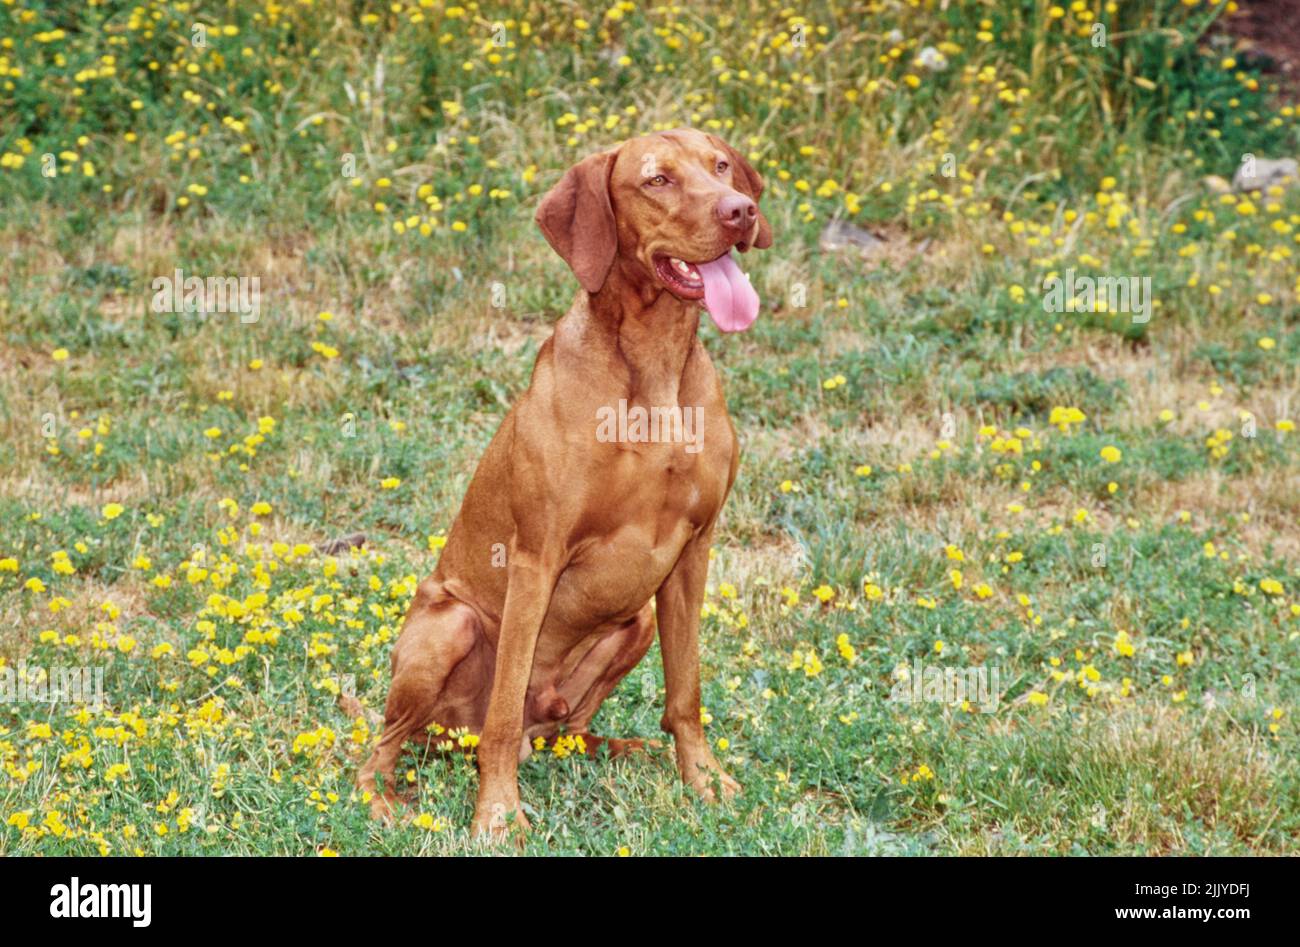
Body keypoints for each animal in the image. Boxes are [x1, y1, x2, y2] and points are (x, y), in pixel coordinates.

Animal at [356, 127, 769, 842]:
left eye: (721, 166)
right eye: (657, 180)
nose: (740, 210)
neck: (654, 367)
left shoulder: (694, 551)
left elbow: (685, 693)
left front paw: (704, 780)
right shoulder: (537, 556)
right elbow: (499, 716)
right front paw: (498, 814)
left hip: (634, 621)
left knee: (565, 730)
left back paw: (621, 749)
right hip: (450, 626)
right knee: (384, 745)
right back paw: (381, 798)